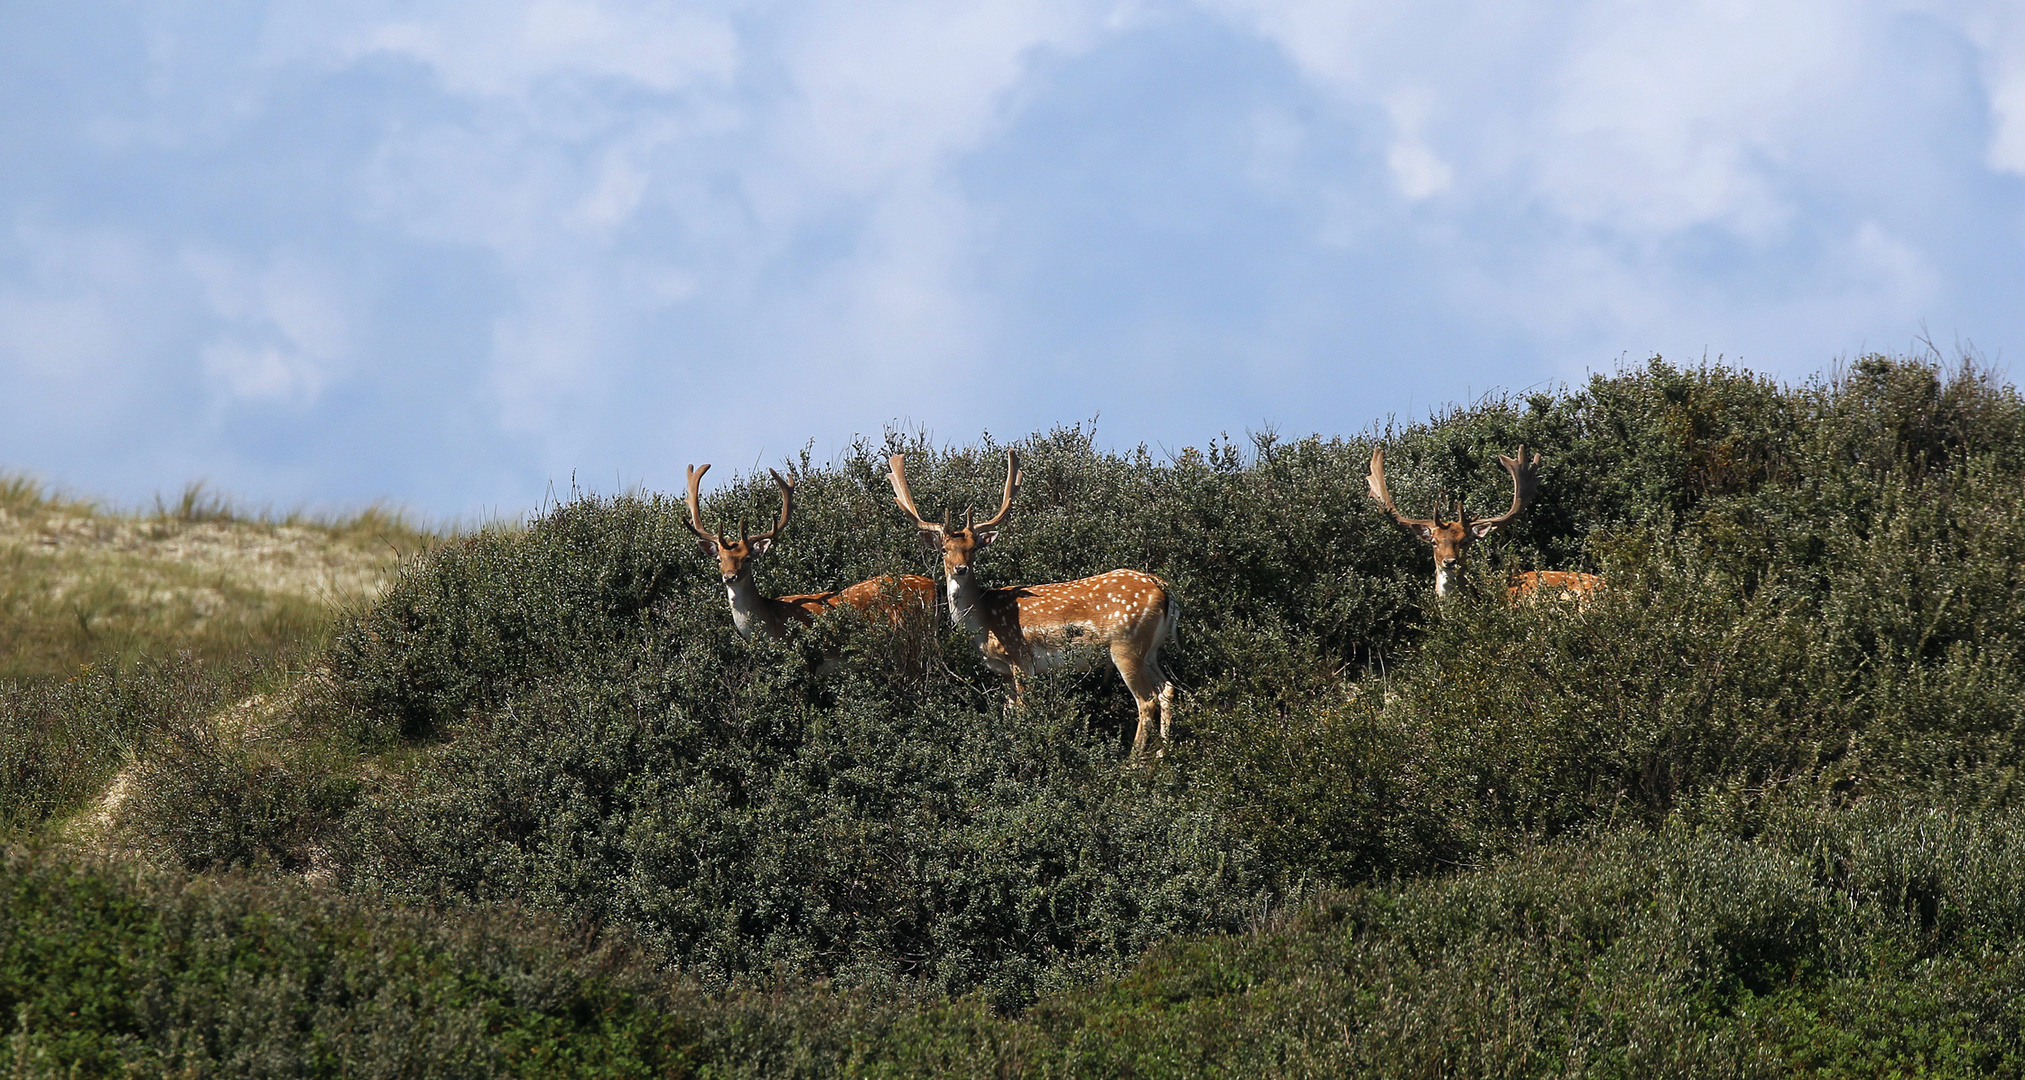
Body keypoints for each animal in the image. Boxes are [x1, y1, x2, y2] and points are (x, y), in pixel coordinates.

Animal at [891, 445, 1182, 757]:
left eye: (973, 548)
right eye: (945, 549)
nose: (960, 569)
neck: (984, 620)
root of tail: (1163, 588)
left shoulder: (1021, 657)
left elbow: (1023, 711)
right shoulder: (1004, 672)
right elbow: (1008, 714)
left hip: (1126, 644)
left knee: (1146, 700)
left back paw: (1133, 761)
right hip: (1150, 649)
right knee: (1167, 689)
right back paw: (1163, 754)